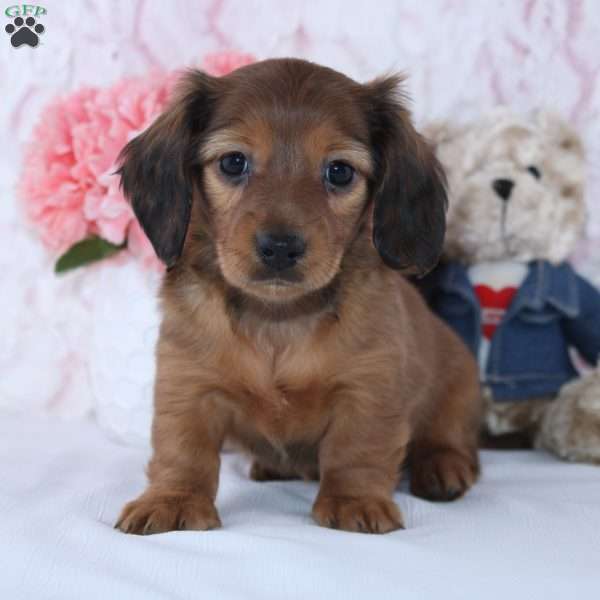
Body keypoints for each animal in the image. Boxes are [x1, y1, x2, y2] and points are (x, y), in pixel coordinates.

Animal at [116, 59, 482, 536]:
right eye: (233, 162)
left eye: (339, 171)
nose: (280, 247)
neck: (278, 319)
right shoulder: (188, 382)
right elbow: (182, 448)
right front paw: (172, 499)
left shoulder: (369, 386)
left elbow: (357, 448)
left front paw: (353, 500)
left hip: (457, 385)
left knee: (451, 440)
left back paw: (443, 467)